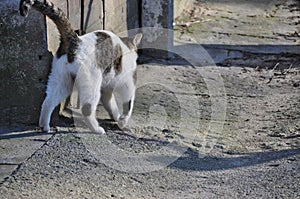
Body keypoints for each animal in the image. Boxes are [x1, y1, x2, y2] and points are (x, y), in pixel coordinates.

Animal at [19, 0, 143, 134]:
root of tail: (76, 40)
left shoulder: (106, 89)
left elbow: (111, 105)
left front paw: (117, 118)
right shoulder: (127, 84)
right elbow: (128, 104)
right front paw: (123, 121)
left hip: (61, 80)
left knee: (48, 102)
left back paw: (44, 126)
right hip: (92, 84)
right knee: (86, 109)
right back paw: (97, 129)